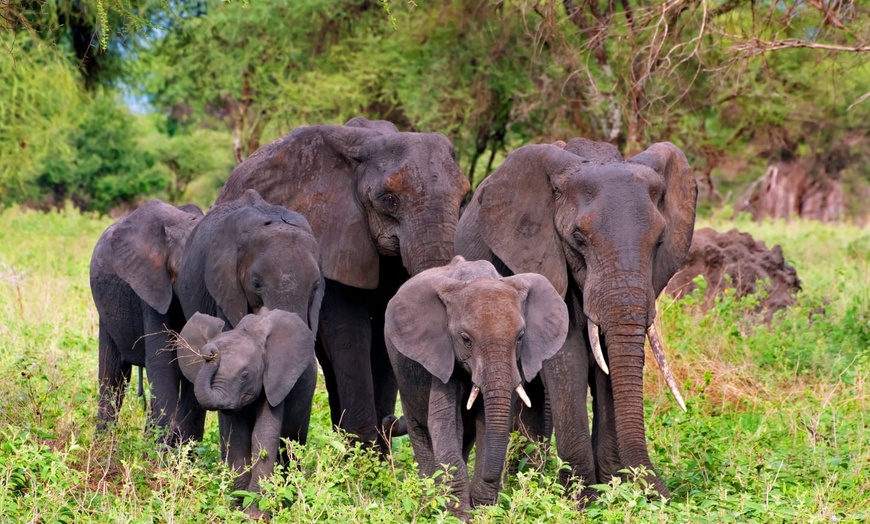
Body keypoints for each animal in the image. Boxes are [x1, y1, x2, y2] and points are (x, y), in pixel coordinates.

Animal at [177, 310, 316, 512]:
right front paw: (238, 507)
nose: (211, 352)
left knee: (293, 442)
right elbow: (237, 438)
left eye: (244, 376)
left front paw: (255, 513)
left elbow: (263, 436)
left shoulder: (274, 381)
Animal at [214, 115, 470, 450]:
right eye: (388, 200)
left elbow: (384, 335)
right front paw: (365, 454)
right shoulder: (329, 237)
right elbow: (349, 333)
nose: (393, 421)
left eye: (465, 198)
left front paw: (375, 457)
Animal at [388, 256, 572, 512]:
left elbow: (487, 423)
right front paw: (460, 514)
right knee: (420, 431)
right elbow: (443, 421)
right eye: (465, 339)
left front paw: (484, 510)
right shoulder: (441, 355)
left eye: (520, 337)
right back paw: (427, 503)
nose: (494, 478)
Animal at [454, 138, 700, 500]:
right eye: (579, 239)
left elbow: (607, 366)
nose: (665, 498)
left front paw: (612, 491)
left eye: (659, 242)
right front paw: (584, 500)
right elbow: (566, 360)